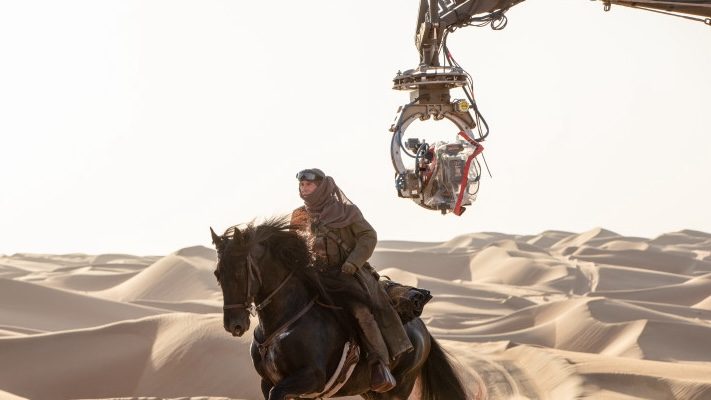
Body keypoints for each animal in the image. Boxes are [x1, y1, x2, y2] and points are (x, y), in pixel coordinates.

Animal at [211, 219, 472, 400]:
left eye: (239, 271)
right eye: (217, 273)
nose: (234, 324)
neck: (284, 321)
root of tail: (422, 330)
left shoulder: (310, 377)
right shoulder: (268, 383)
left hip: (398, 389)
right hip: (371, 391)